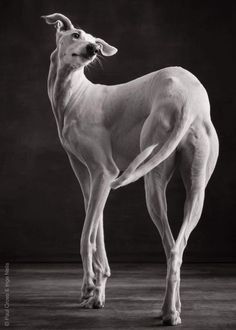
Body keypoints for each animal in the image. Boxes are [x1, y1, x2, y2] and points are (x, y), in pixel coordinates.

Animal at [42, 13, 219, 324]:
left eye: (94, 41)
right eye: (76, 34)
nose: (93, 50)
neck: (74, 96)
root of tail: (188, 97)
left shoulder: (105, 173)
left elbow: (86, 235)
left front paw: (92, 288)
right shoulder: (88, 178)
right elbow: (97, 231)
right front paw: (94, 291)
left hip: (152, 179)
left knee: (171, 244)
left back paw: (168, 312)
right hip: (196, 189)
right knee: (176, 247)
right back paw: (173, 309)